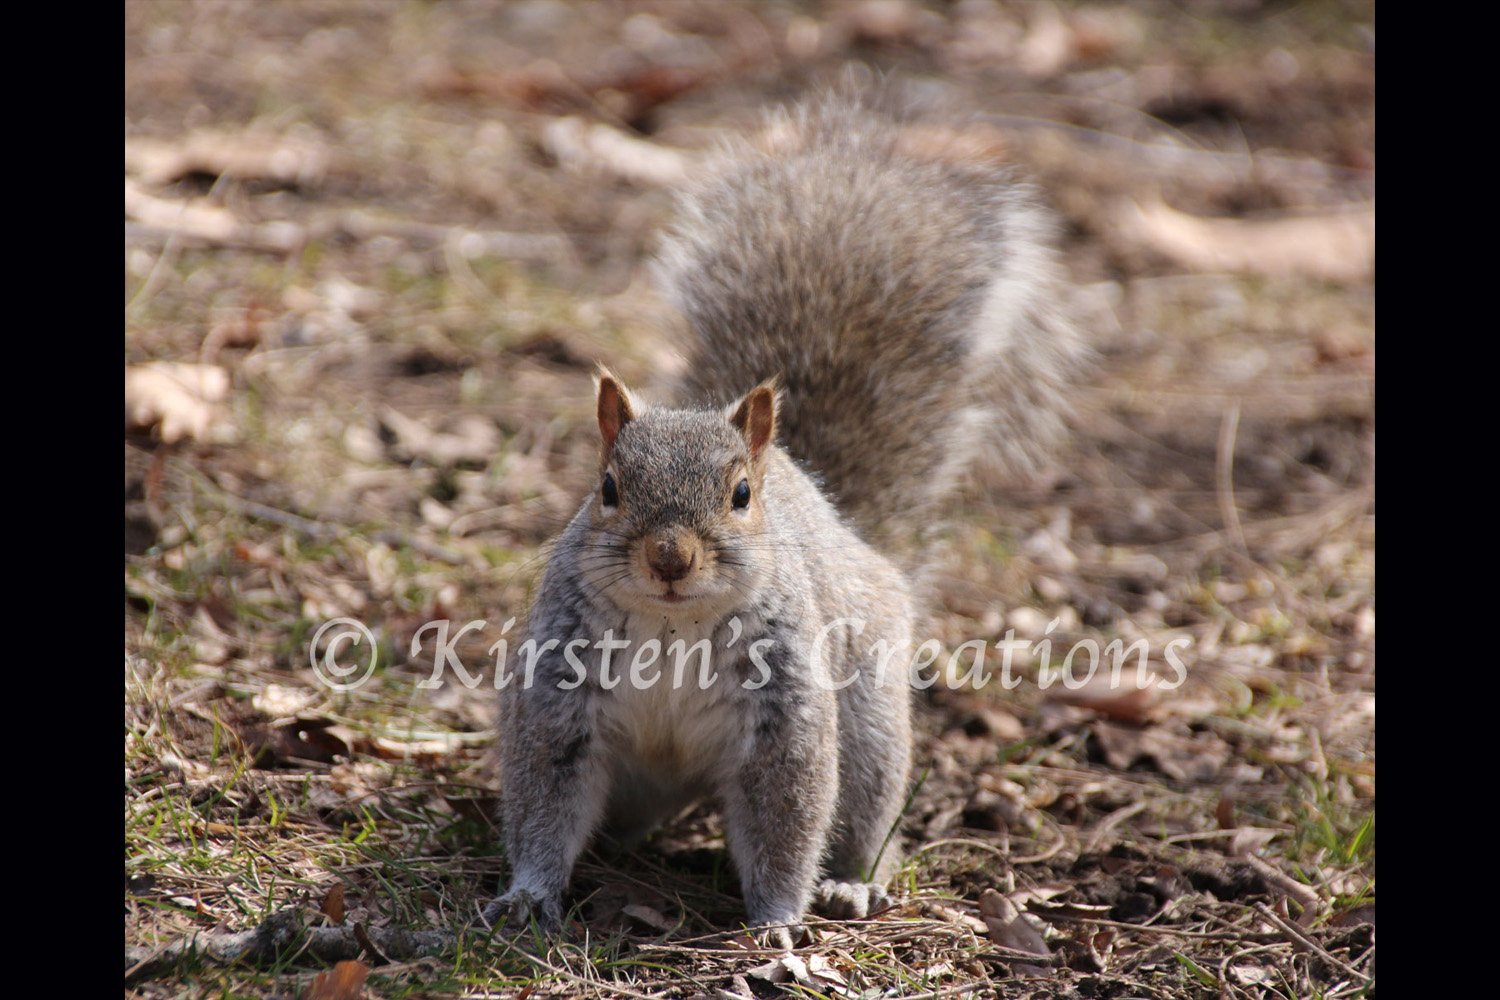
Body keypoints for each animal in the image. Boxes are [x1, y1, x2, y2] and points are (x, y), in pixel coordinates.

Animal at [483, 92, 1085, 948]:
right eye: (607, 487)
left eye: (741, 495)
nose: (670, 557)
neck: (671, 628)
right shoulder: (558, 698)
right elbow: (544, 803)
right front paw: (530, 894)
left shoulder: (785, 710)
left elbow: (787, 817)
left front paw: (776, 921)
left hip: (871, 730)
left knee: (864, 815)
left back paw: (850, 884)